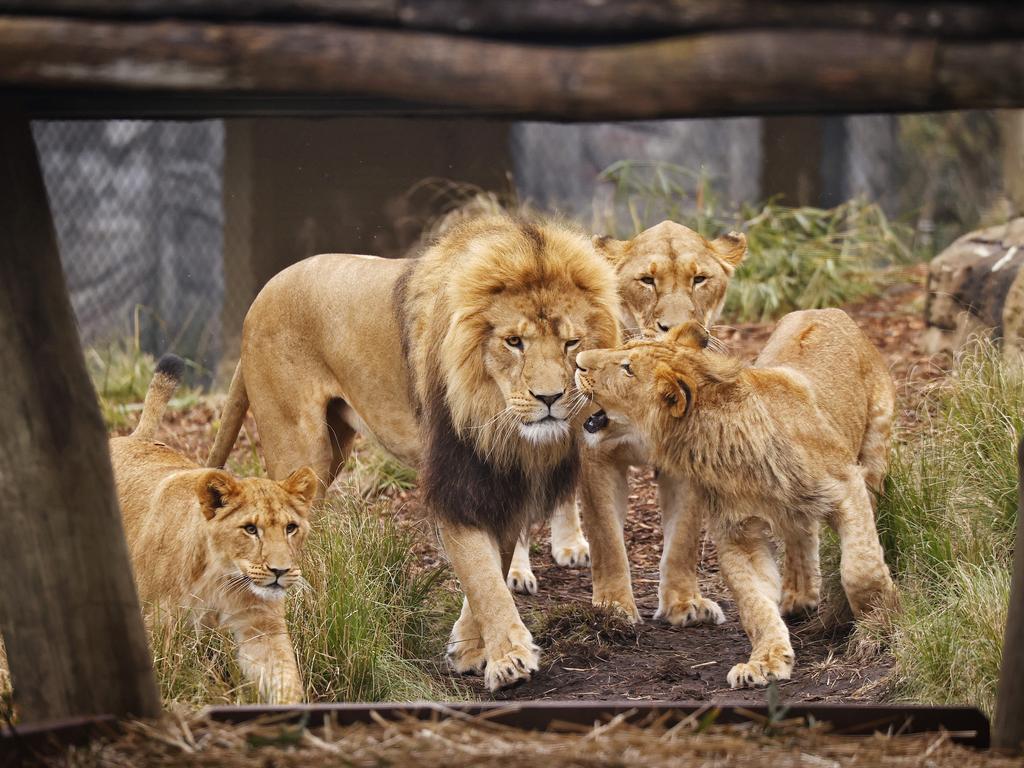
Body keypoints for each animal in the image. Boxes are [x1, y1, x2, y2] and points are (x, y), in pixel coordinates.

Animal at [110, 354, 317, 704]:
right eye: (250, 529)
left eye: (291, 528)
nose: (280, 571)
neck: (221, 578)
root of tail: (135, 438)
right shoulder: (159, 625)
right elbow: (169, 676)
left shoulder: (261, 628)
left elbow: (284, 678)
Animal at [206, 215, 614, 692]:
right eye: (514, 342)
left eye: (571, 343)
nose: (549, 398)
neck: (495, 414)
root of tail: (260, 295)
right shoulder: (457, 480)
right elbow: (482, 575)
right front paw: (509, 660)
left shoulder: (501, 480)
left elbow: (493, 565)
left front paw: (468, 649)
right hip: (300, 444)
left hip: (333, 448)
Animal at [577, 309, 897, 688]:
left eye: (627, 368)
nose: (577, 361)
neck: (723, 446)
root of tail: (824, 310)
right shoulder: (737, 533)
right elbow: (754, 604)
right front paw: (765, 661)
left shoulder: (847, 485)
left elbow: (860, 567)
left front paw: (880, 624)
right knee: (801, 531)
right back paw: (799, 595)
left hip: (875, 451)